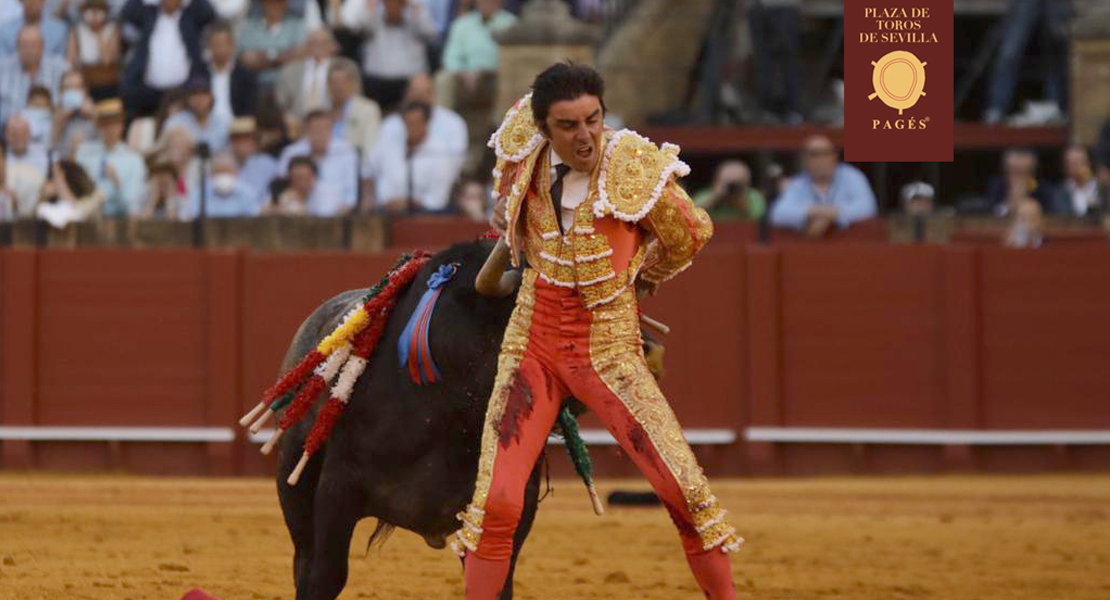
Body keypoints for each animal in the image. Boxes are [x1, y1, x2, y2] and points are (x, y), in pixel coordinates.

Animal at [274, 239, 661, 598]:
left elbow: (495, 581)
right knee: (304, 560)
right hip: (294, 484)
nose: (648, 352)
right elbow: (325, 576)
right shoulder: (338, 487)